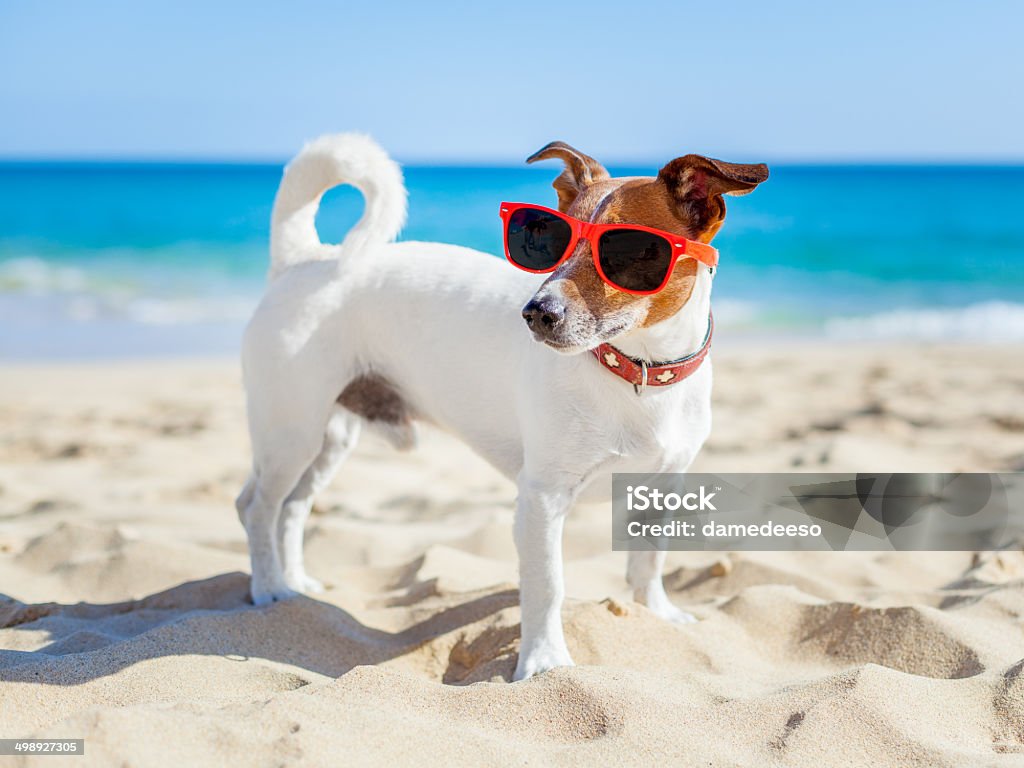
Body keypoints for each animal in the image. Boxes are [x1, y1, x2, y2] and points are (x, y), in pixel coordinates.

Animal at [237, 135, 770, 684]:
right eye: (549, 239)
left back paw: (296, 585)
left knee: (292, 507)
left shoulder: (664, 487)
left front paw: (657, 615)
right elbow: (547, 584)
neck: (636, 373)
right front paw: (544, 662)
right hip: (292, 433)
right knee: (257, 507)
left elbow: (649, 562)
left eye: (630, 250)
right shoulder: (542, 498)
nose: (536, 313)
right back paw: (269, 588)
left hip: (330, 439)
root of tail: (306, 259)